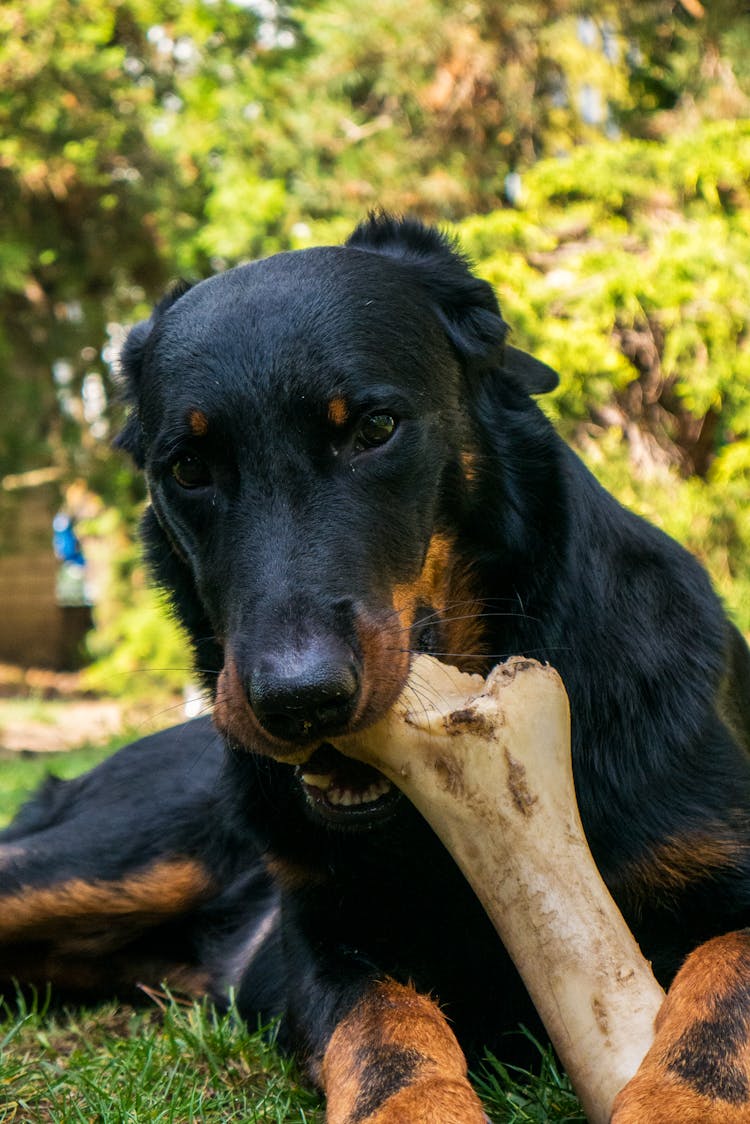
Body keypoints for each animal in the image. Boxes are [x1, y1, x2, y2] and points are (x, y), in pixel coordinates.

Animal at [1, 214, 750, 1119]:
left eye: (374, 429)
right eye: (188, 468)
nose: (297, 702)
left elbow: (719, 1001)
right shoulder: (331, 940)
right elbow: (386, 1032)